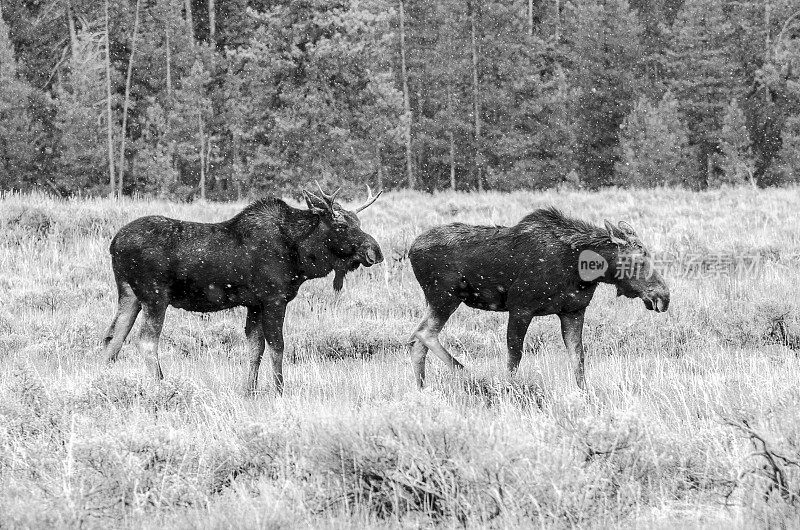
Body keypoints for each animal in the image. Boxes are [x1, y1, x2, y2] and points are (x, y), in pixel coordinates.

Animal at [101, 183, 382, 392]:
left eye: (358, 222)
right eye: (341, 225)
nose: (375, 252)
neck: (300, 255)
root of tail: (114, 244)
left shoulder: (254, 304)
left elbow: (255, 348)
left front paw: (250, 389)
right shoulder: (274, 299)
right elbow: (277, 346)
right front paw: (279, 390)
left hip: (129, 295)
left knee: (112, 339)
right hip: (155, 296)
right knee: (146, 341)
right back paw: (161, 384)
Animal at [406, 206, 668, 388]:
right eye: (638, 259)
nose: (663, 296)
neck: (580, 270)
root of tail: (410, 250)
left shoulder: (573, 311)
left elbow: (578, 358)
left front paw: (585, 395)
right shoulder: (520, 308)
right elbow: (514, 357)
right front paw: (508, 388)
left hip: (437, 301)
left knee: (416, 340)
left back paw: (422, 388)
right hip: (445, 296)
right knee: (423, 333)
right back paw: (465, 371)